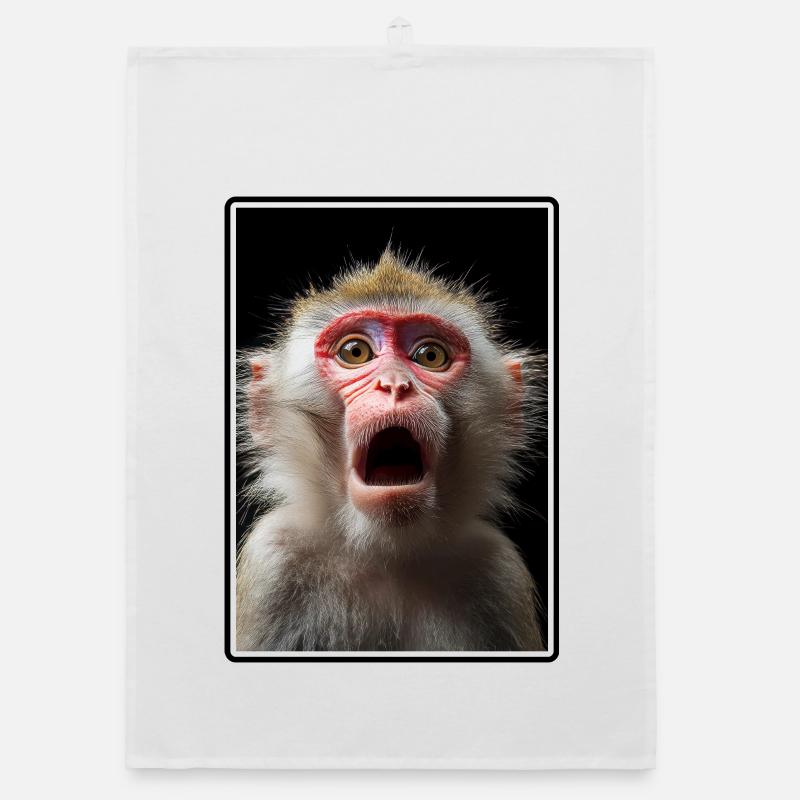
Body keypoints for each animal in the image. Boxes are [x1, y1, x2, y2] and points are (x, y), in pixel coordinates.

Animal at [236, 249, 546, 651]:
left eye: (430, 355)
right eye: (355, 352)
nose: (396, 384)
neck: (386, 553)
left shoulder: (498, 572)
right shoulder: (274, 559)